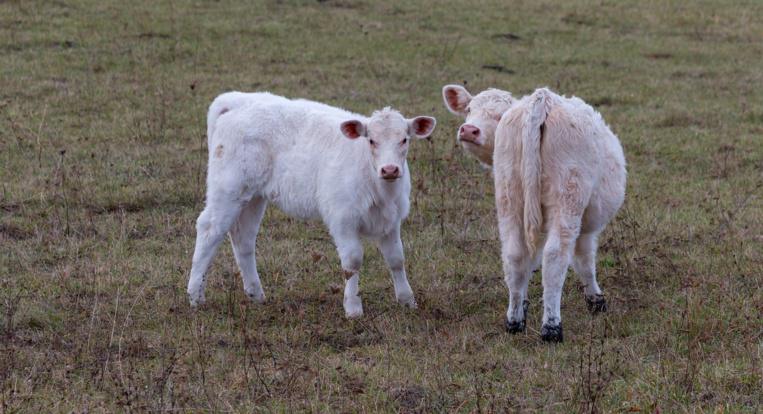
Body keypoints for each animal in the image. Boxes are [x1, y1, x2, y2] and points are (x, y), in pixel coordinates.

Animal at [187, 91, 436, 316]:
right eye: (371, 140)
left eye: (404, 139)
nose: (390, 169)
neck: (379, 187)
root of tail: (234, 100)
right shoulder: (342, 218)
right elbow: (352, 262)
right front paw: (353, 308)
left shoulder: (392, 220)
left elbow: (396, 259)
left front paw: (407, 300)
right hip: (227, 188)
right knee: (209, 229)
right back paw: (195, 296)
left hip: (253, 196)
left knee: (243, 238)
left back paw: (256, 294)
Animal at [442, 85, 628, 342]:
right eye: (469, 109)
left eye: (498, 115)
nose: (469, 130)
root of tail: (542, 99)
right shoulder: (584, 227)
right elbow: (584, 261)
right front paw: (596, 301)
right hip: (567, 200)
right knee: (554, 258)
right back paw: (551, 328)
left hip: (510, 198)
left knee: (514, 255)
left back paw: (514, 321)